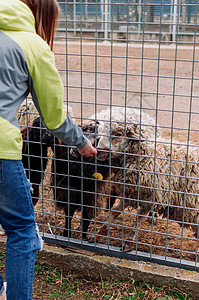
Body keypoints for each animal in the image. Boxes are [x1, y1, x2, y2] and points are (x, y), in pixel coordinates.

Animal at [90, 106, 199, 252]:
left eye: (118, 134)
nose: (99, 151)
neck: (145, 156)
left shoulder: (151, 197)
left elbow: (138, 218)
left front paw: (129, 242)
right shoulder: (130, 193)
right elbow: (114, 213)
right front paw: (98, 234)